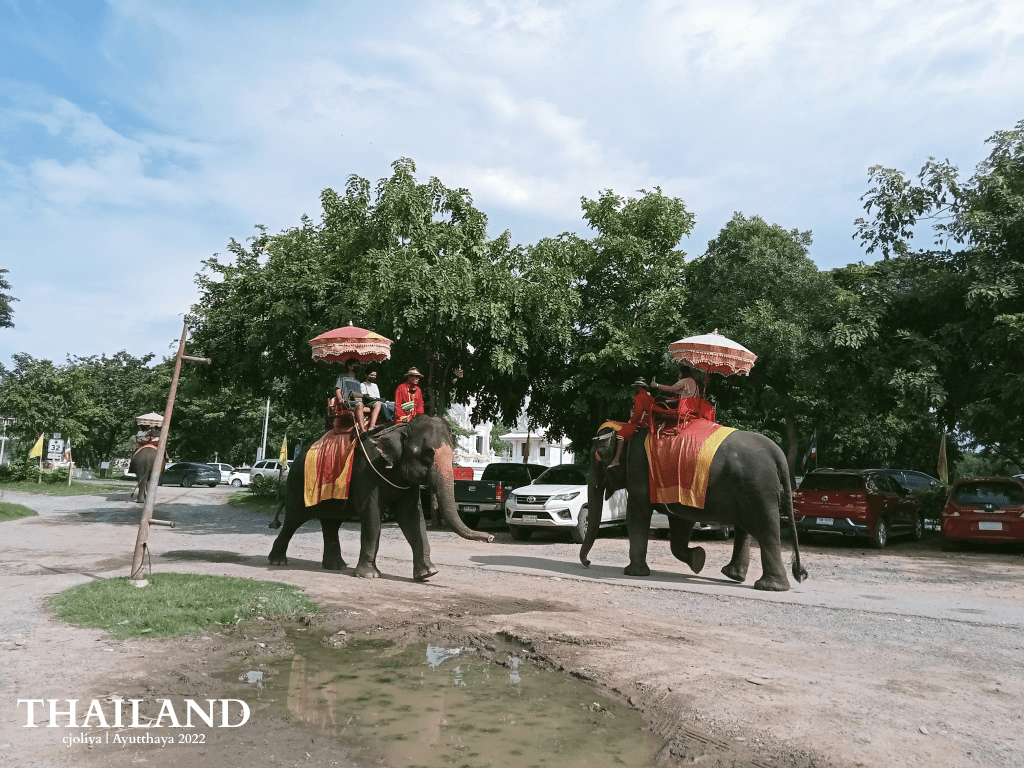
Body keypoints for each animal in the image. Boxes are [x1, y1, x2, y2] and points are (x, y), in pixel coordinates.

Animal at [268, 415, 494, 580]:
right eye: (428, 454)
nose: (490, 538)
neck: (400, 428)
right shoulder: (367, 472)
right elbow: (372, 514)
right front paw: (368, 575)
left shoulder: (404, 482)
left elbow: (412, 517)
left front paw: (428, 574)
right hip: (298, 484)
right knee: (294, 519)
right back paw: (278, 561)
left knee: (331, 523)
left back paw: (336, 567)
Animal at [580, 426, 808, 591]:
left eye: (597, 460)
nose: (588, 563)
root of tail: (778, 454)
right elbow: (681, 521)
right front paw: (698, 560)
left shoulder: (639, 471)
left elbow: (638, 513)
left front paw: (633, 573)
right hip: (750, 492)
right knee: (746, 529)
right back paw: (733, 575)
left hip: (758, 491)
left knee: (765, 531)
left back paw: (769, 587)